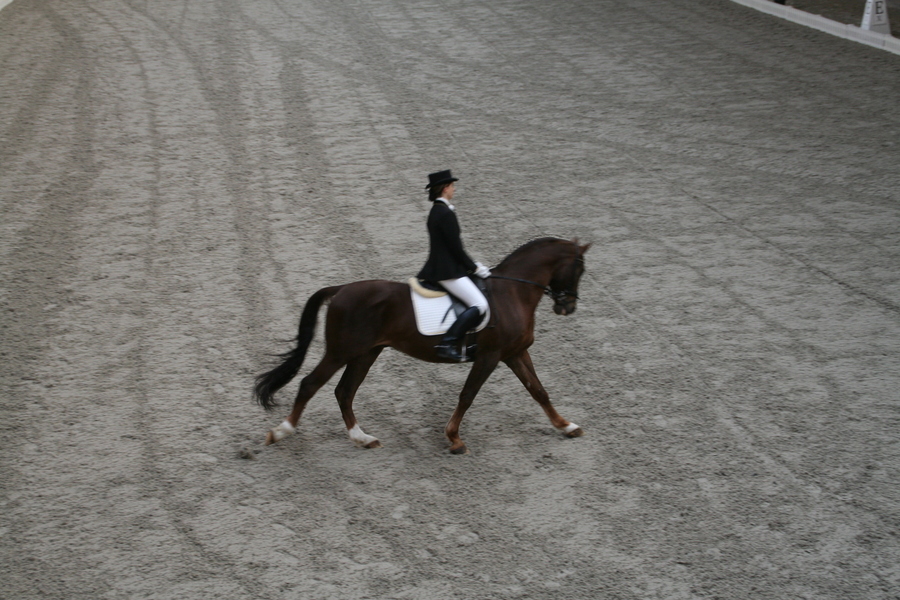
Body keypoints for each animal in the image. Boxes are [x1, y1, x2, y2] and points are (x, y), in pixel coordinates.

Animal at [254, 237, 591, 454]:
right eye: (580, 268)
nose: (568, 307)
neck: (513, 293)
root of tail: (341, 289)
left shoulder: (515, 353)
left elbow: (538, 391)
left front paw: (566, 426)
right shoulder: (490, 356)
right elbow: (468, 395)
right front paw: (454, 439)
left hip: (366, 353)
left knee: (344, 391)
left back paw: (362, 438)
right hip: (342, 351)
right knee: (310, 385)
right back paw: (280, 432)